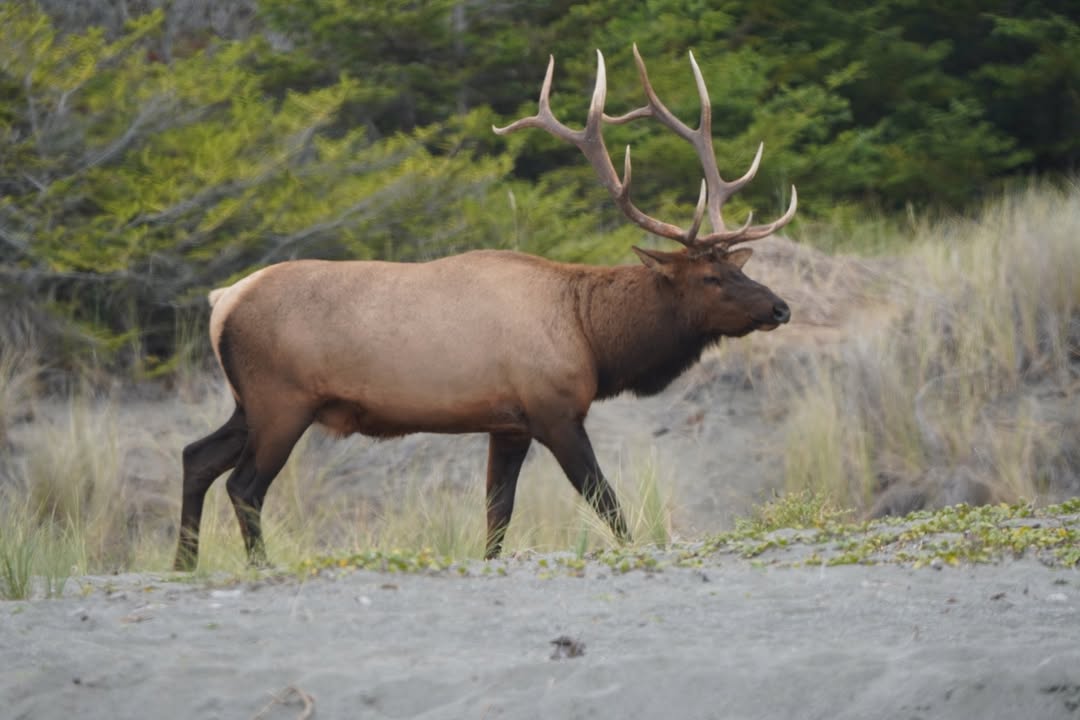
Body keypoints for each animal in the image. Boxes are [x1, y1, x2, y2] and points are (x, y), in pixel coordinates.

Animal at [173, 44, 797, 571]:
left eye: (742, 267)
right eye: (712, 276)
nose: (780, 308)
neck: (593, 336)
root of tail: (222, 301)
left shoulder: (508, 422)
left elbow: (498, 511)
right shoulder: (553, 409)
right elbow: (604, 499)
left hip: (249, 401)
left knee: (196, 456)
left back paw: (184, 563)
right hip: (281, 400)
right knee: (244, 485)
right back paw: (258, 565)